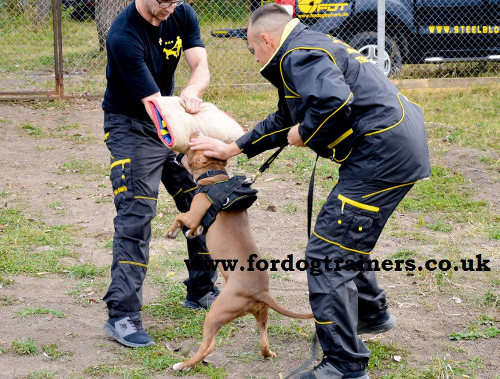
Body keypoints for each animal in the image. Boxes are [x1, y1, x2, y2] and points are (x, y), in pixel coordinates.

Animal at [166, 139, 310, 372]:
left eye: (190, 149)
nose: (175, 151)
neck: (214, 176)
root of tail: (261, 292)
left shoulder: (195, 211)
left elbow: (180, 217)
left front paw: (172, 231)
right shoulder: (197, 218)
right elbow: (195, 227)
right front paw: (192, 232)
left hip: (216, 313)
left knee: (208, 346)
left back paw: (183, 365)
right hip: (261, 315)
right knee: (264, 340)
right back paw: (268, 353)